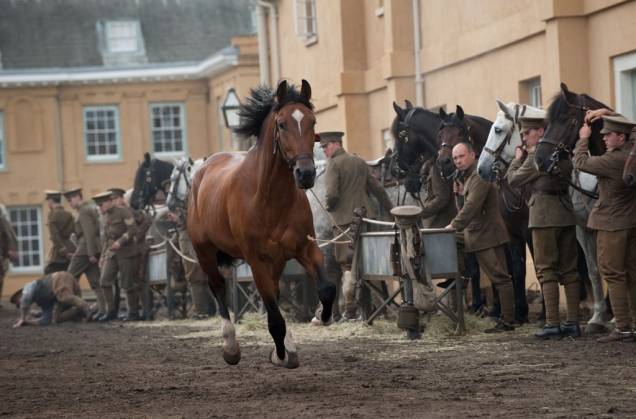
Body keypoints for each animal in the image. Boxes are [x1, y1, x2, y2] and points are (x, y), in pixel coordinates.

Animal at [189, 80, 338, 370]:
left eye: (313, 121)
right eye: (281, 124)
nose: (306, 174)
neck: (269, 198)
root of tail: (204, 168)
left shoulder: (305, 248)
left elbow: (326, 289)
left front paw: (321, 317)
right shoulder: (256, 260)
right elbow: (275, 319)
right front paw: (280, 355)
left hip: (277, 260)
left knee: (276, 290)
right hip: (205, 252)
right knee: (218, 287)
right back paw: (231, 347)